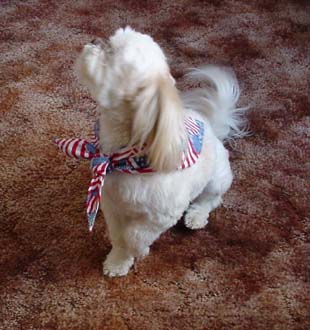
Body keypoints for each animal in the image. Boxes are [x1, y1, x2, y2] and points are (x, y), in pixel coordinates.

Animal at [75, 27, 247, 278]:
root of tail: (213, 129)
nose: (94, 40)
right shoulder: (111, 204)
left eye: (112, 53)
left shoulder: (163, 215)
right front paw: (118, 262)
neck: (125, 159)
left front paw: (140, 251)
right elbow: (119, 236)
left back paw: (196, 215)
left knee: (212, 199)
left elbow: (135, 235)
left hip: (218, 179)